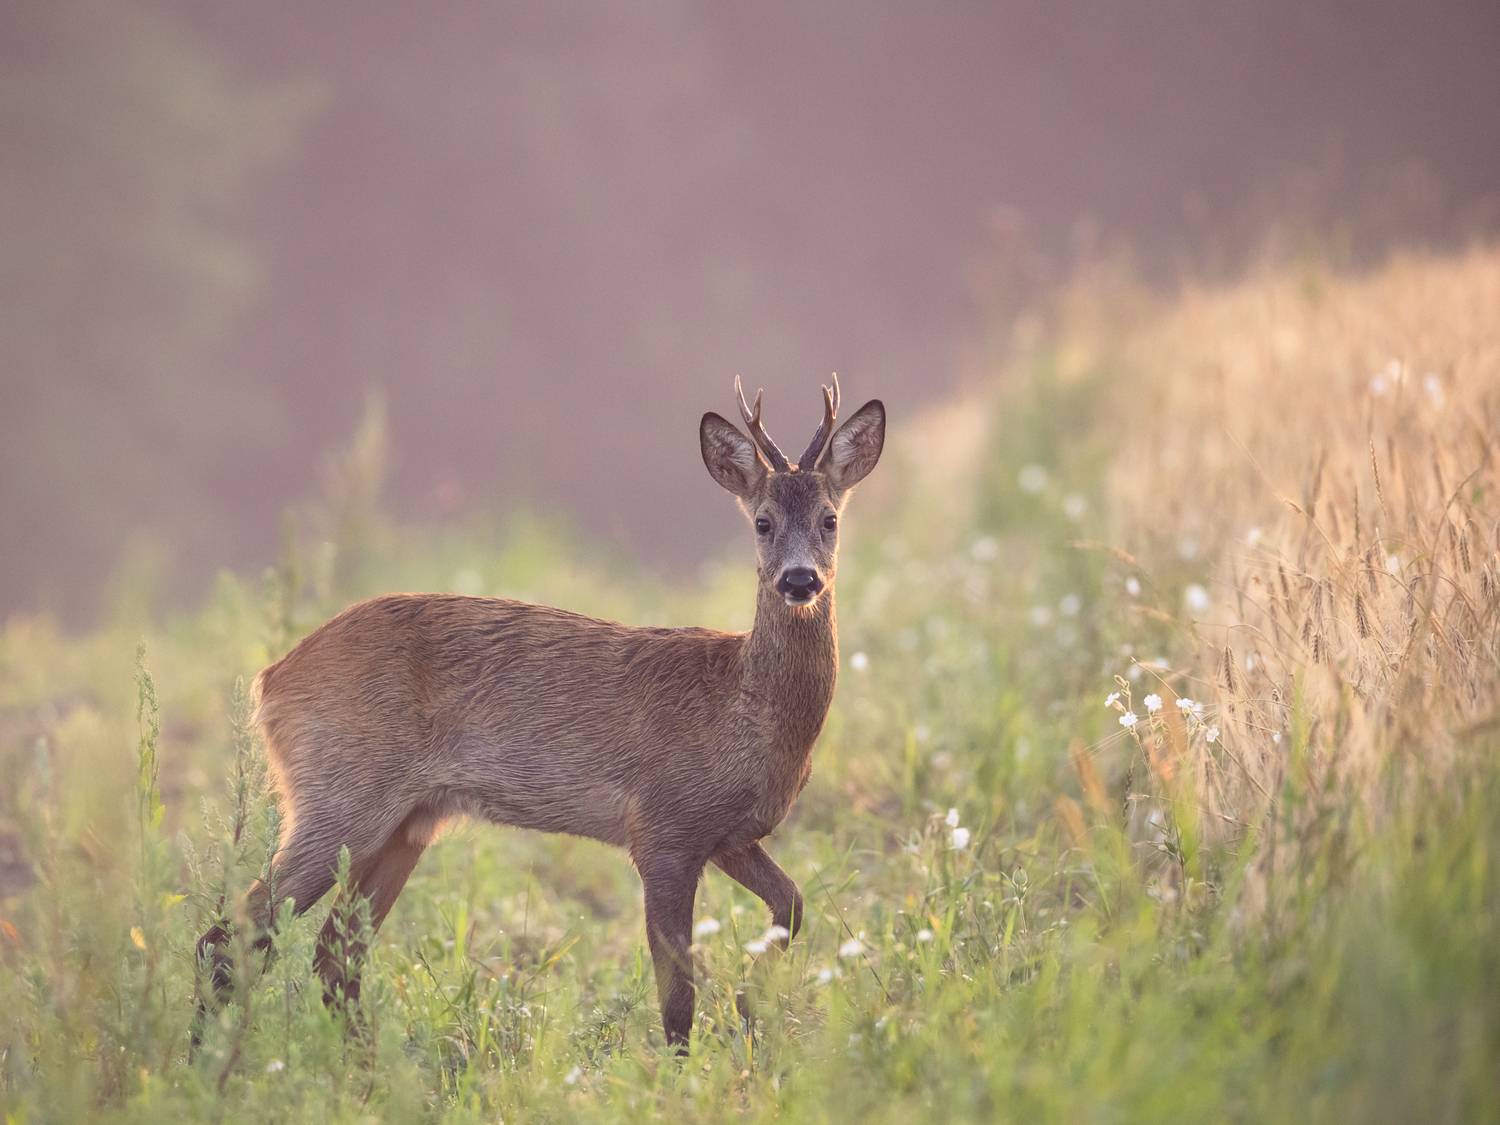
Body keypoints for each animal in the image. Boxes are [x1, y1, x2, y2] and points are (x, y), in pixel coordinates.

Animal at [194, 375, 885, 1051]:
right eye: (762, 522)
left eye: (829, 519)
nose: (799, 580)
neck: (745, 714)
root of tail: (270, 679)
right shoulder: (663, 827)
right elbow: (677, 993)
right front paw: (687, 1063)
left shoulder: (731, 836)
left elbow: (793, 905)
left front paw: (750, 1001)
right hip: (339, 793)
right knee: (231, 935)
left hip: (405, 823)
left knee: (332, 956)